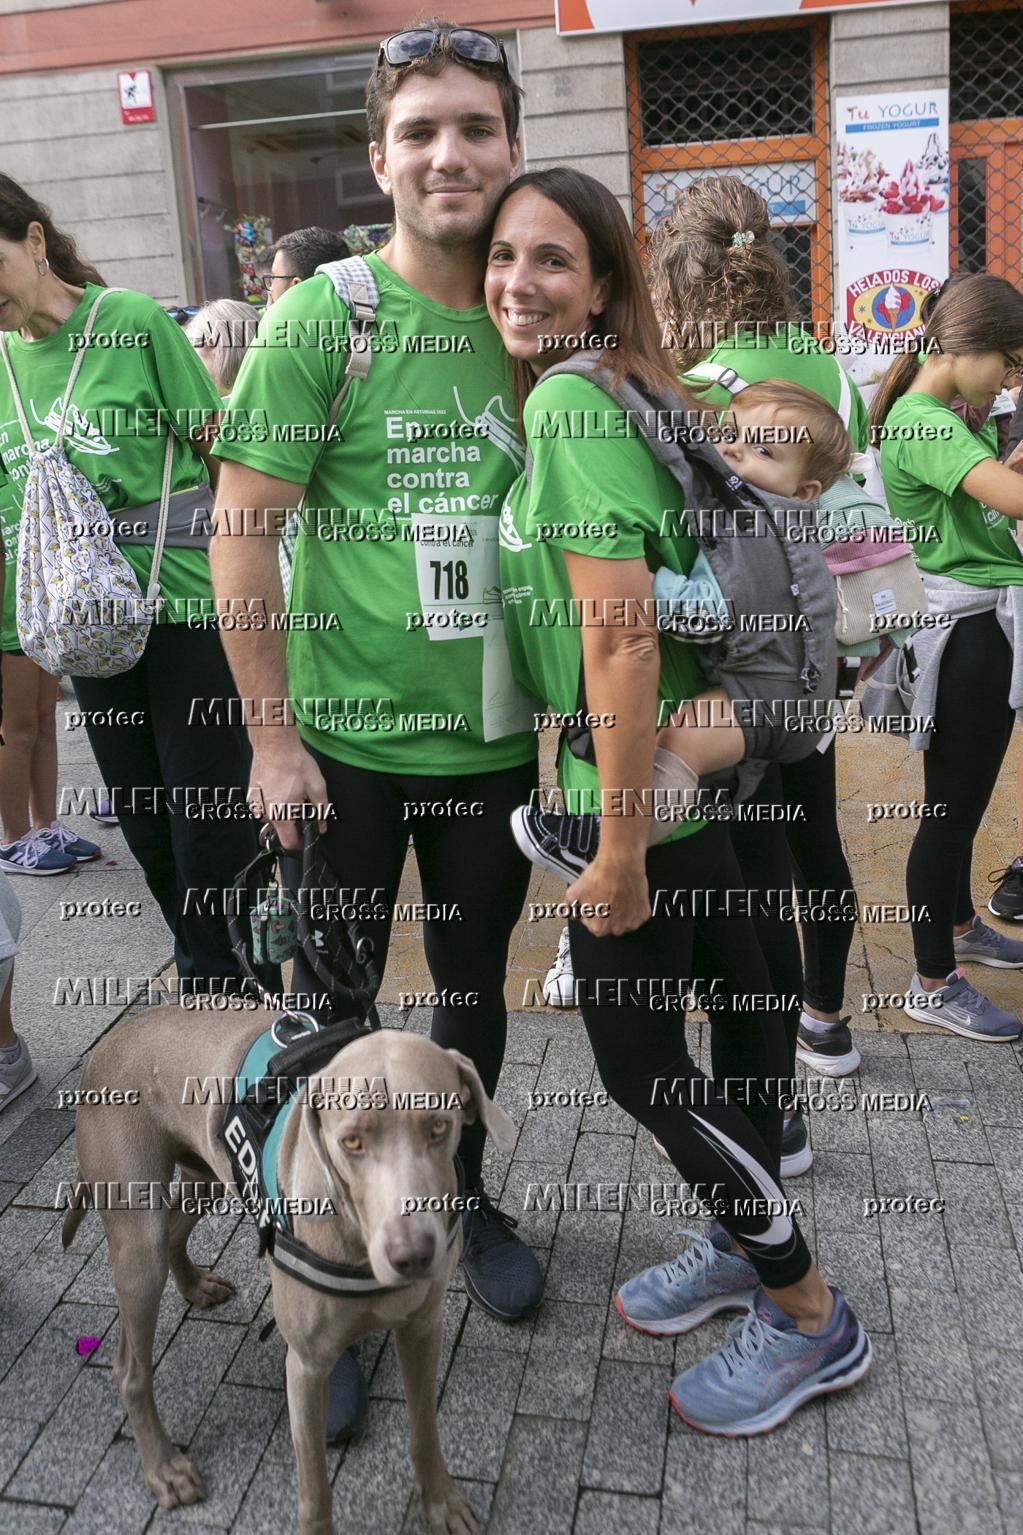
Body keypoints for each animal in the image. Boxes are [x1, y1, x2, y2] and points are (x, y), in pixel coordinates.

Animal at [59, 1006, 513, 1535]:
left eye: (439, 1127)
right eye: (351, 1141)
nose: (414, 1256)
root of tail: (106, 1045)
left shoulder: (422, 1328)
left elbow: (424, 1430)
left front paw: (441, 1502)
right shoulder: (307, 1367)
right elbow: (315, 1487)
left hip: (207, 1173)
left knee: (174, 1229)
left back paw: (196, 1285)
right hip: (138, 1240)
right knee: (130, 1368)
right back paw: (165, 1469)